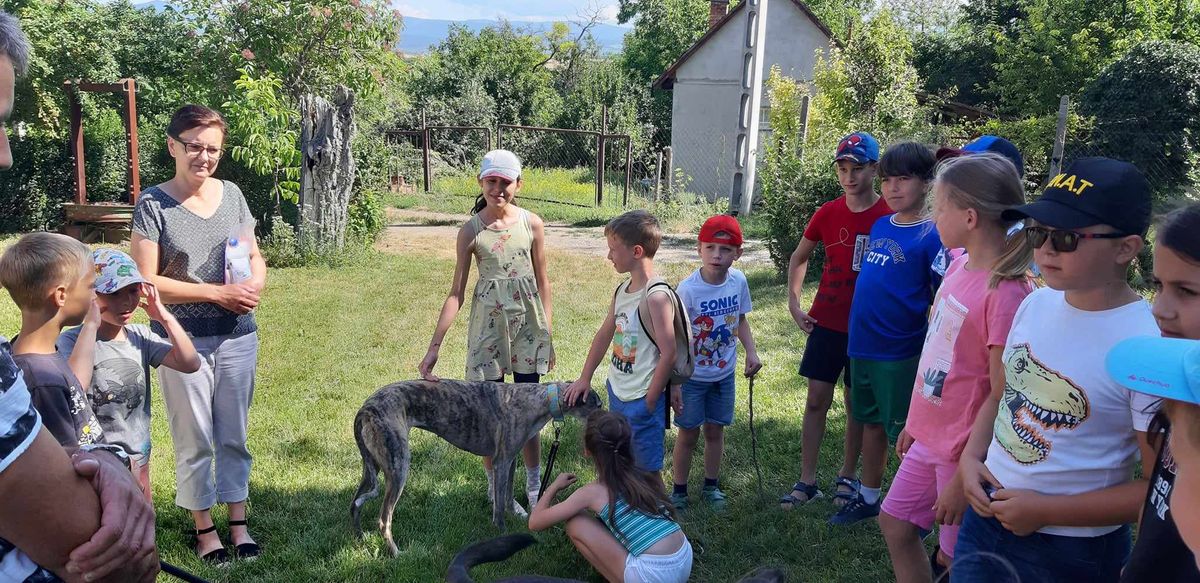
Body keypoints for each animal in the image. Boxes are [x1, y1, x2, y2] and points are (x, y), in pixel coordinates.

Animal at [352, 379, 600, 556]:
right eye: (597, 405)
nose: (606, 416)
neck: (537, 399)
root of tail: (365, 409)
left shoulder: (510, 459)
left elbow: (507, 495)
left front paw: (515, 515)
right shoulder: (501, 461)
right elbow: (498, 505)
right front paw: (501, 531)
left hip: (371, 467)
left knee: (354, 504)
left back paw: (359, 540)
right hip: (398, 466)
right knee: (383, 519)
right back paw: (396, 553)